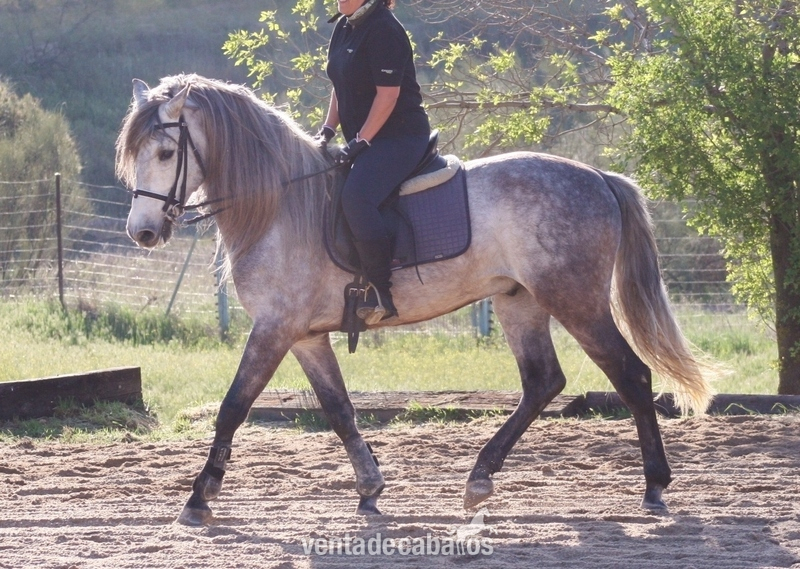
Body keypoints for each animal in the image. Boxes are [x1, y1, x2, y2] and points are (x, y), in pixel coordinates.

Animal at [116, 74, 714, 526]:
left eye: (166, 152)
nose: (142, 233)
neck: (281, 204)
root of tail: (599, 177)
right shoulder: (305, 335)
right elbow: (339, 410)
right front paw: (370, 490)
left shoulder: (274, 327)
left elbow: (233, 407)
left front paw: (199, 498)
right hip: (520, 302)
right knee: (543, 382)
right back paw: (479, 480)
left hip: (576, 300)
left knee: (631, 376)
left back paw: (655, 487)